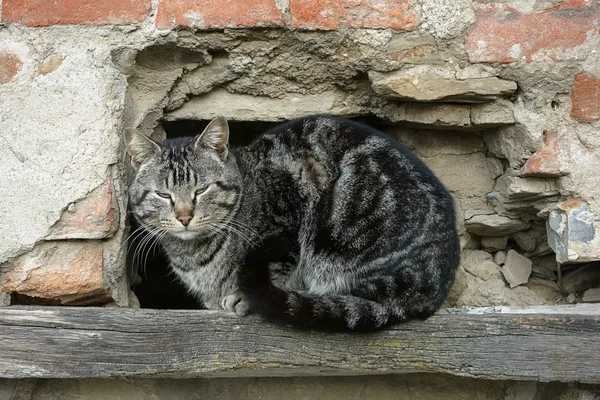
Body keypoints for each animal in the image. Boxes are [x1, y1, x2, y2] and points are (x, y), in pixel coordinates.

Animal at [124, 115, 458, 332]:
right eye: (163, 194)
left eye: (202, 190)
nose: (184, 216)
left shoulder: (291, 201)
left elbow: (277, 267)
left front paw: (242, 297)